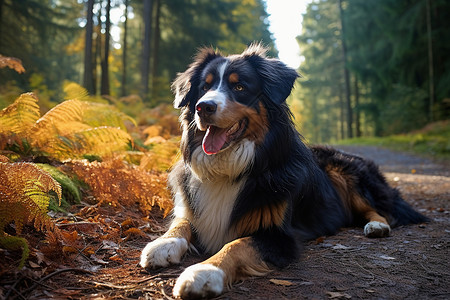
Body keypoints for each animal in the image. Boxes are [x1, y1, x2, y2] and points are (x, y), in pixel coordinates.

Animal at [139, 43, 428, 298]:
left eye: (239, 87)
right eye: (204, 87)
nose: (204, 107)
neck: (230, 167)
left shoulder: (279, 237)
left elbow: (236, 245)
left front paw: (203, 272)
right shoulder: (194, 208)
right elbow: (181, 223)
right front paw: (163, 243)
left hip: (347, 172)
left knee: (380, 209)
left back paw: (376, 226)